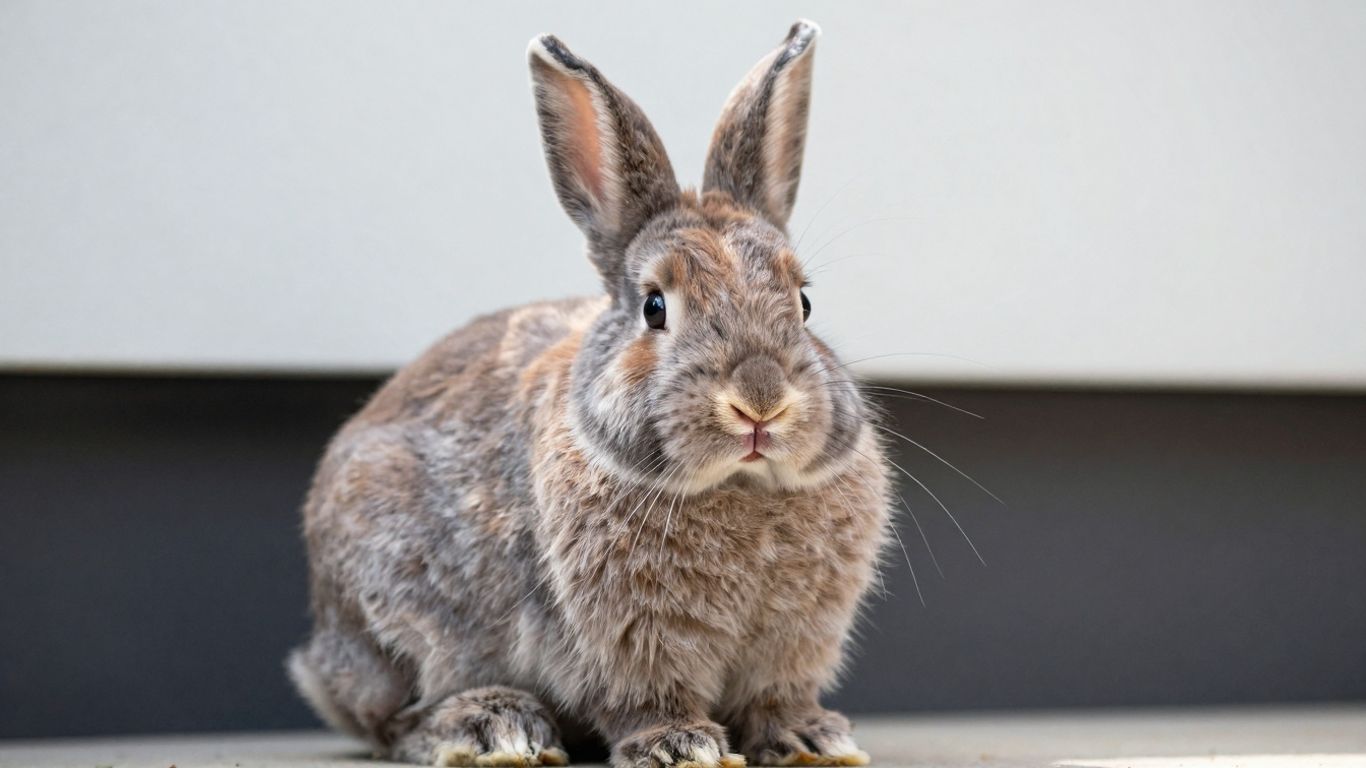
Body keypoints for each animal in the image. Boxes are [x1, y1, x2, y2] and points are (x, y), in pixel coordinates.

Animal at [287, 19, 891, 768]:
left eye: (804, 303)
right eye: (655, 307)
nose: (760, 401)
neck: (740, 485)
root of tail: (319, 658)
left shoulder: (791, 644)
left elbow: (774, 700)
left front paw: (811, 737)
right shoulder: (626, 638)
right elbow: (646, 700)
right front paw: (680, 744)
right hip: (394, 614)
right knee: (391, 719)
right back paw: (492, 726)